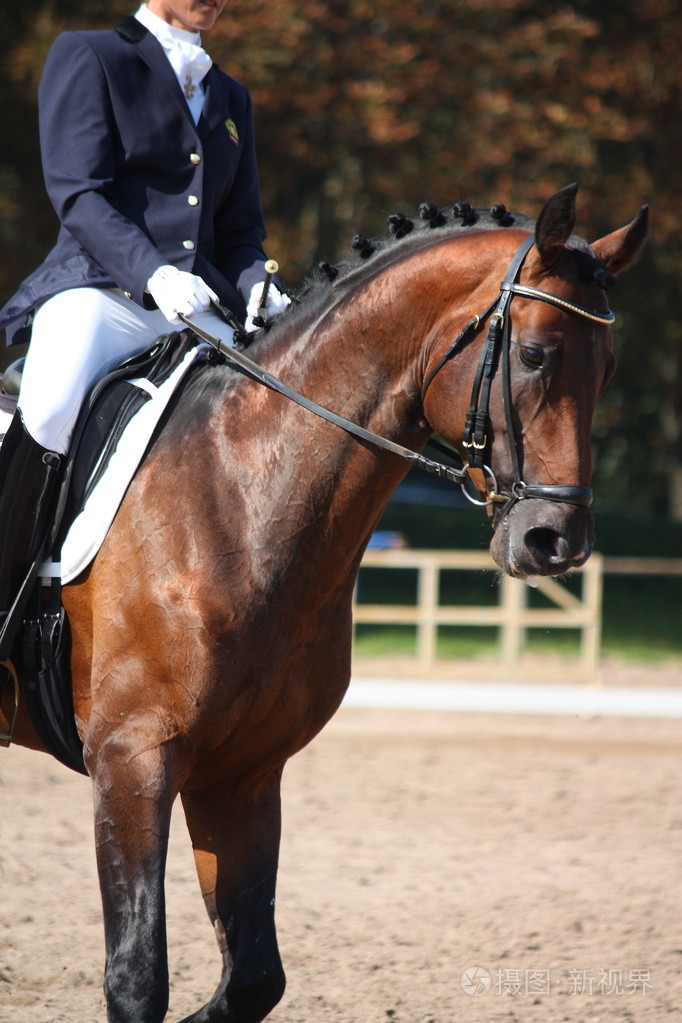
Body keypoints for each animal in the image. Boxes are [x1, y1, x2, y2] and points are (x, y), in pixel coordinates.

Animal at [0, 184, 647, 1023]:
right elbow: (137, 978)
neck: (240, 493)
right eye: (534, 353)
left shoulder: (242, 771)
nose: (556, 540)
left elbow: (253, 975)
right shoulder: (130, 757)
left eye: (608, 366)